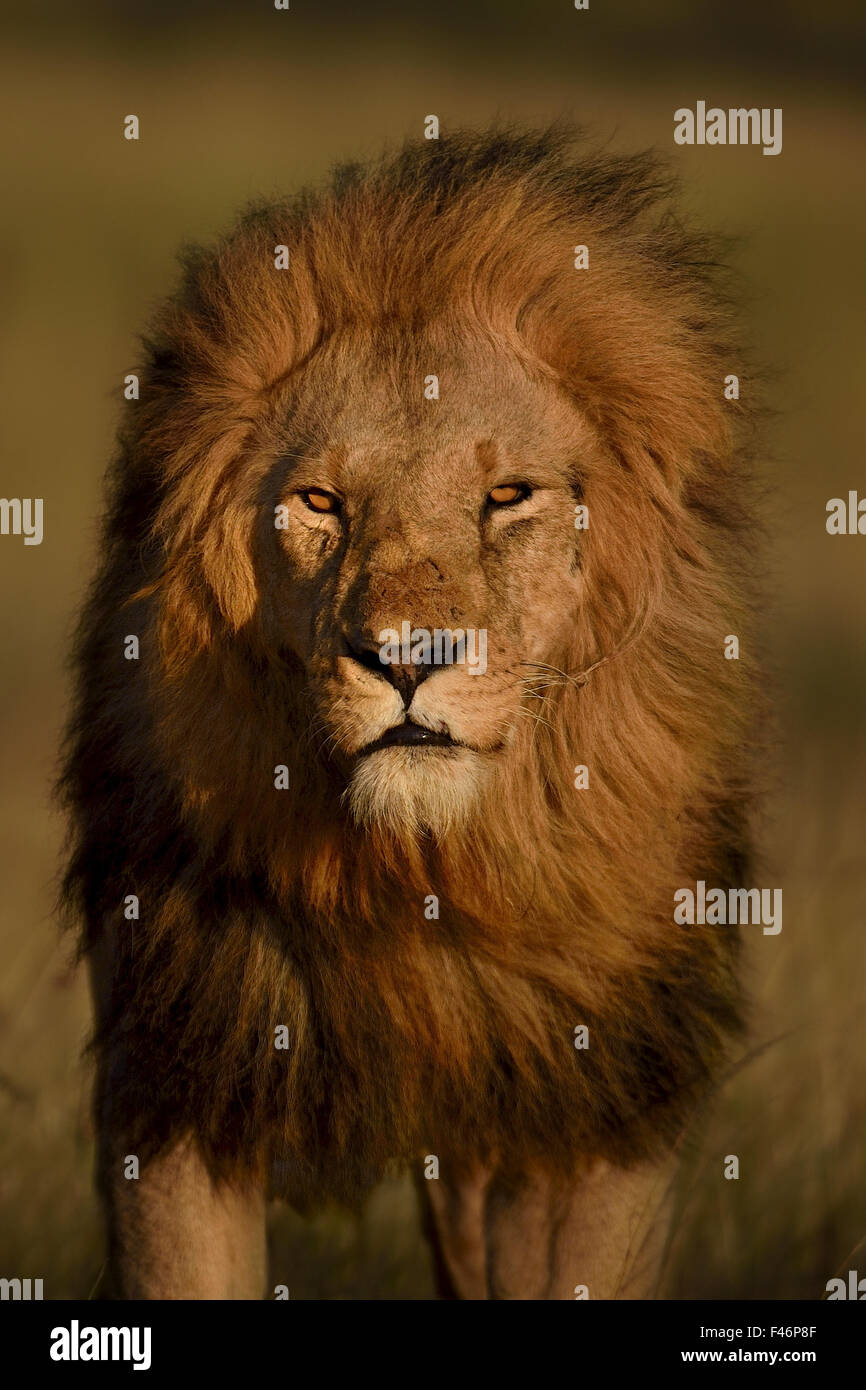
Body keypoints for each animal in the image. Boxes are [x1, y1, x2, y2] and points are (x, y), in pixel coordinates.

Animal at [60, 126, 759, 1300]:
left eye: (507, 496)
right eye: (320, 504)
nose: (405, 659)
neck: (420, 876)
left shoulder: (602, 1106)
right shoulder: (178, 1073)